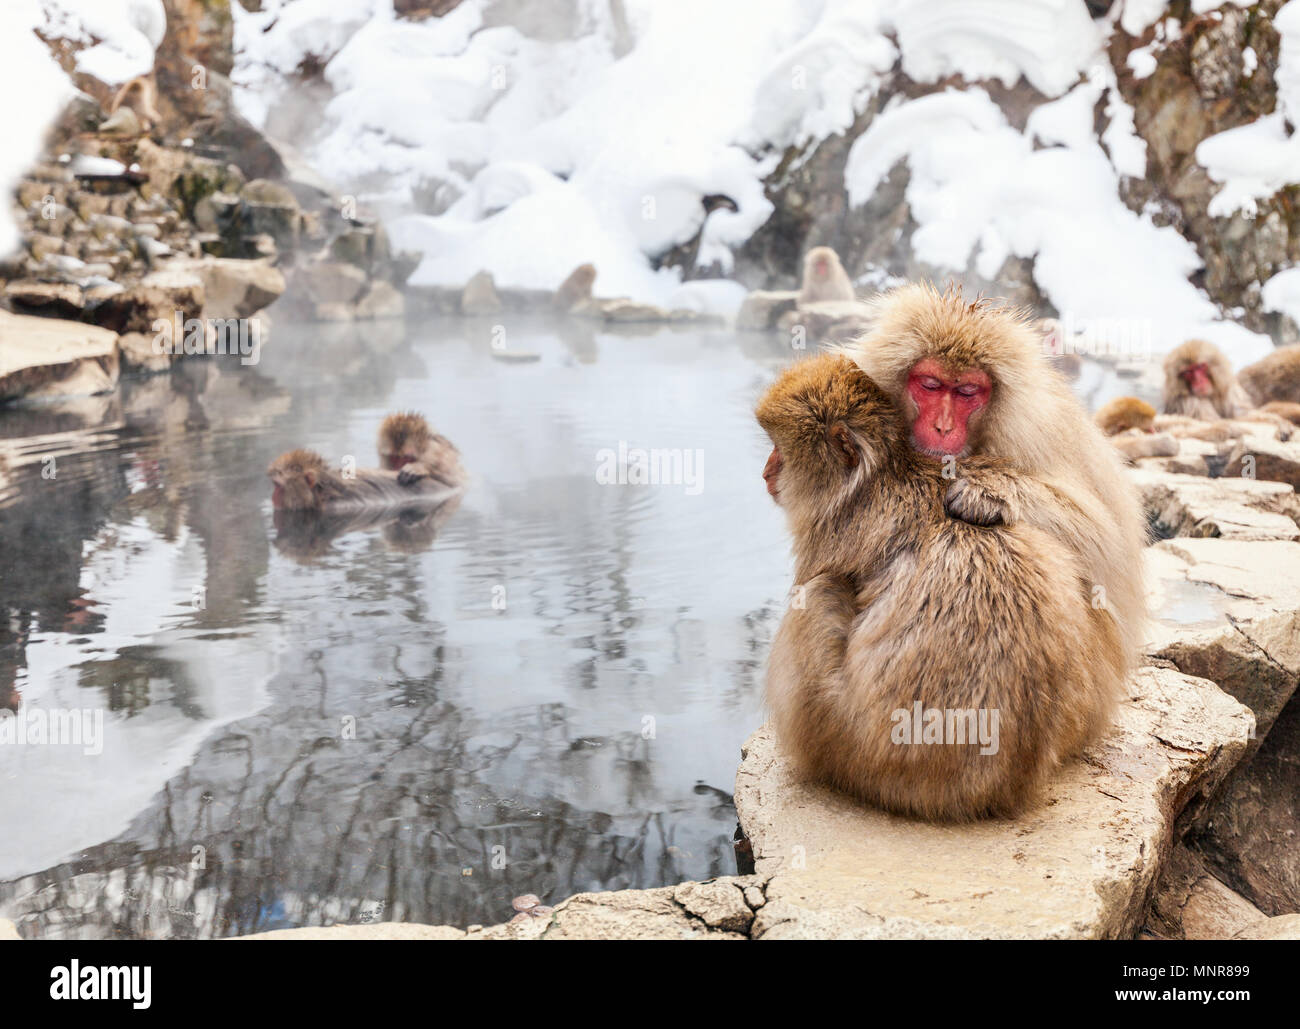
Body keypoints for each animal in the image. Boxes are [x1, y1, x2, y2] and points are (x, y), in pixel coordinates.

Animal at [757, 353, 1125, 821]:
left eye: (781, 451)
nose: (766, 471)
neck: (884, 471)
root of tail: (1002, 789)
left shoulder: (826, 534)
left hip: (852, 750)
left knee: (818, 596)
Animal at [848, 282, 1148, 668]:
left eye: (967, 392)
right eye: (930, 385)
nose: (942, 426)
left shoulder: (1034, 435)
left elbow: (1102, 539)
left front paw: (986, 494)